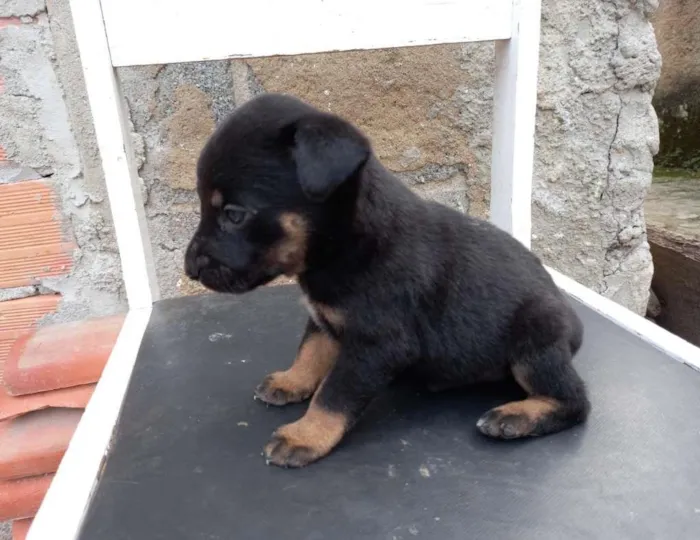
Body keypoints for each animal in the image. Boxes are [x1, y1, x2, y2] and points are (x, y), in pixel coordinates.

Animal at [186, 93, 592, 468]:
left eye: (234, 214)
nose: (190, 268)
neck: (348, 243)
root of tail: (574, 325)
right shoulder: (324, 319)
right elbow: (310, 352)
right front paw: (292, 380)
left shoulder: (376, 344)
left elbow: (334, 394)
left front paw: (304, 436)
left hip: (534, 341)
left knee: (575, 400)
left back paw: (516, 416)